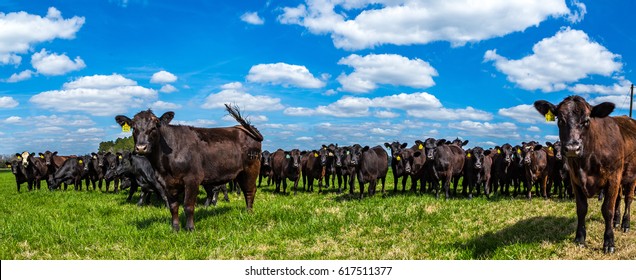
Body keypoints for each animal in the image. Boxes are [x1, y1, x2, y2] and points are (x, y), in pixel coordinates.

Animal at [115, 104, 262, 231]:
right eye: (134, 127)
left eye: (155, 127)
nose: (141, 147)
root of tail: (244, 128)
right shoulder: (166, 182)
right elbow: (173, 206)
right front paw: (175, 228)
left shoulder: (192, 179)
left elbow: (188, 205)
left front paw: (190, 228)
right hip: (240, 173)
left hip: (251, 169)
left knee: (250, 191)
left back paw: (249, 213)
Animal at [536, 96, 632, 254]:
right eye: (560, 120)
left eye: (587, 121)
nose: (572, 148)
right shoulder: (575, 180)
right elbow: (581, 209)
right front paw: (580, 238)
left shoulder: (613, 178)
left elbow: (608, 210)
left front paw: (609, 242)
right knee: (618, 199)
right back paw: (617, 222)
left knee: (628, 199)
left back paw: (625, 224)